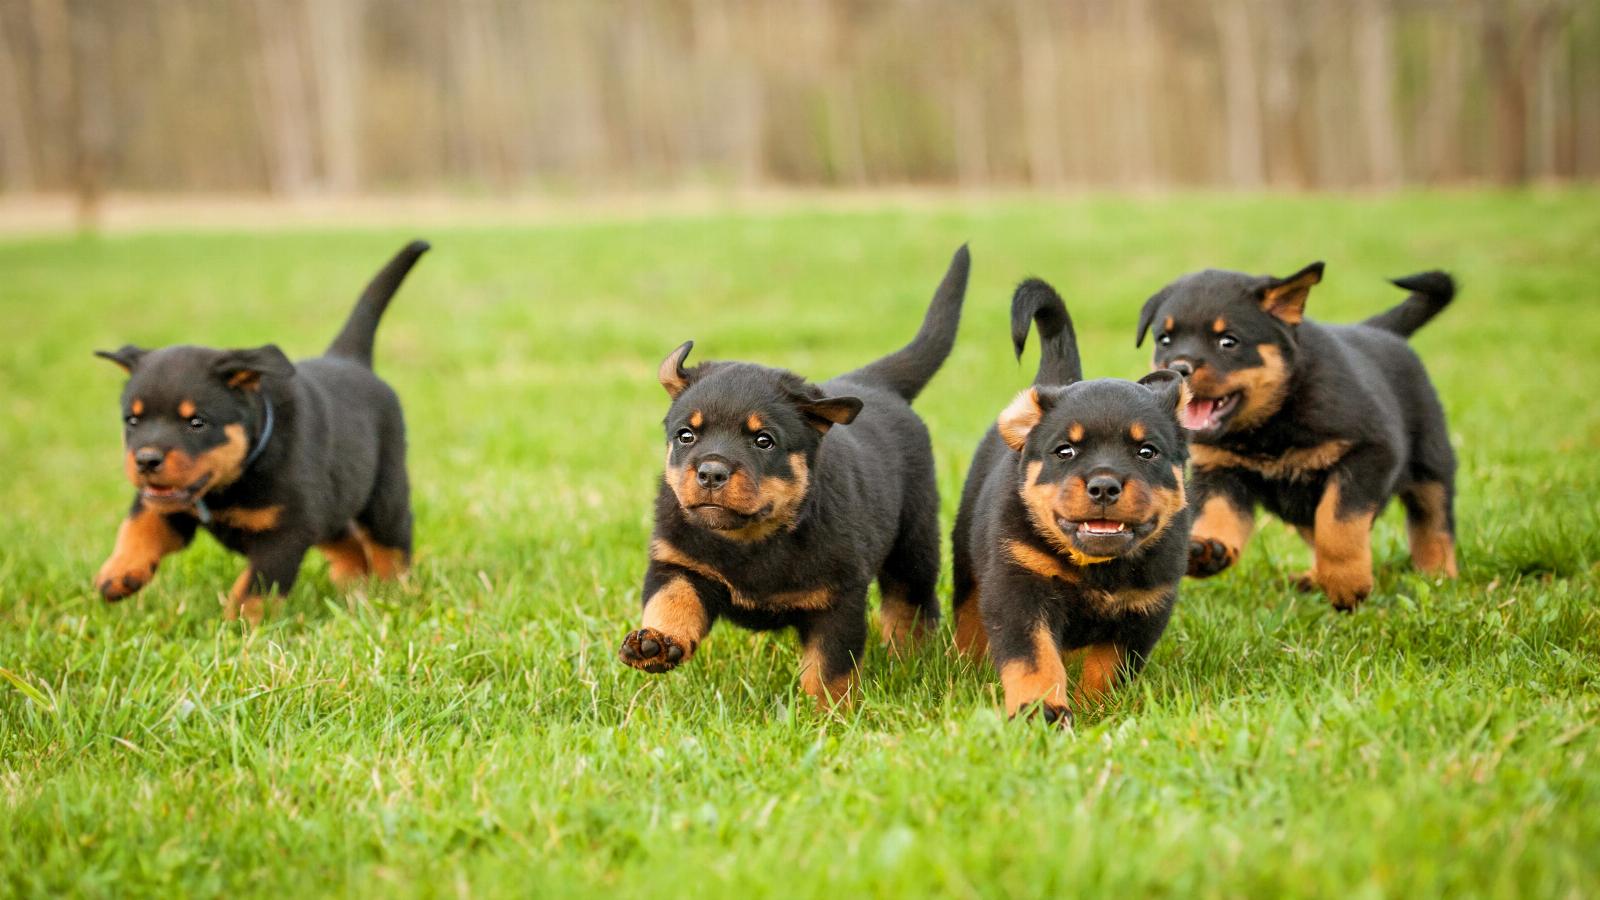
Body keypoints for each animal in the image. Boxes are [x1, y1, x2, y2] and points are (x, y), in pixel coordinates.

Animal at [92, 238, 432, 621]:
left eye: (197, 423)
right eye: (133, 421)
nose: (146, 460)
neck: (232, 479)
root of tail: (349, 358)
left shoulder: (287, 532)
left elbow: (254, 589)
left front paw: (235, 628)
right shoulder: (169, 504)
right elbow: (139, 524)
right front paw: (119, 573)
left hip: (384, 496)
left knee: (391, 545)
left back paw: (393, 593)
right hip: (333, 501)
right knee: (346, 540)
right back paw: (354, 584)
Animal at [617, 241, 966, 704]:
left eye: (763, 440)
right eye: (686, 435)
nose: (710, 473)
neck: (752, 539)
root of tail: (876, 384)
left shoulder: (838, 600)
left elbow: (829, 668)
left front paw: (827, 713)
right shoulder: (678, 561)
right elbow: (672, 599)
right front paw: (655, 641)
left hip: (915, 541)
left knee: (910, 602)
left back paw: (908, 660)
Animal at [947, 278, 1190, 720]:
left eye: (1147, 451)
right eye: (1066, 451)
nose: (1104, 486)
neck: (1098, 569)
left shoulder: (1145, 608)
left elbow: (1110, 666)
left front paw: (1095, 708)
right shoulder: (1019, 588)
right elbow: (1034, 658)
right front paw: (1041, 711)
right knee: (969, 613)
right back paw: (966, 664)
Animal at [1139, 262, 1465, 605]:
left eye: (1228, 341)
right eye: (1164, 340)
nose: (1179, 367)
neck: (1269, 423)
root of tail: (1380, 331)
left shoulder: (1370, 452)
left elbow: (1338, 523)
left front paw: (1348, 584)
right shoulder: (1218, 470)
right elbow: (1219, 513)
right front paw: (1210, 549)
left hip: (1431, 464)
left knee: (1433, 523)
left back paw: (1438, 577)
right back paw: (1312, 579)